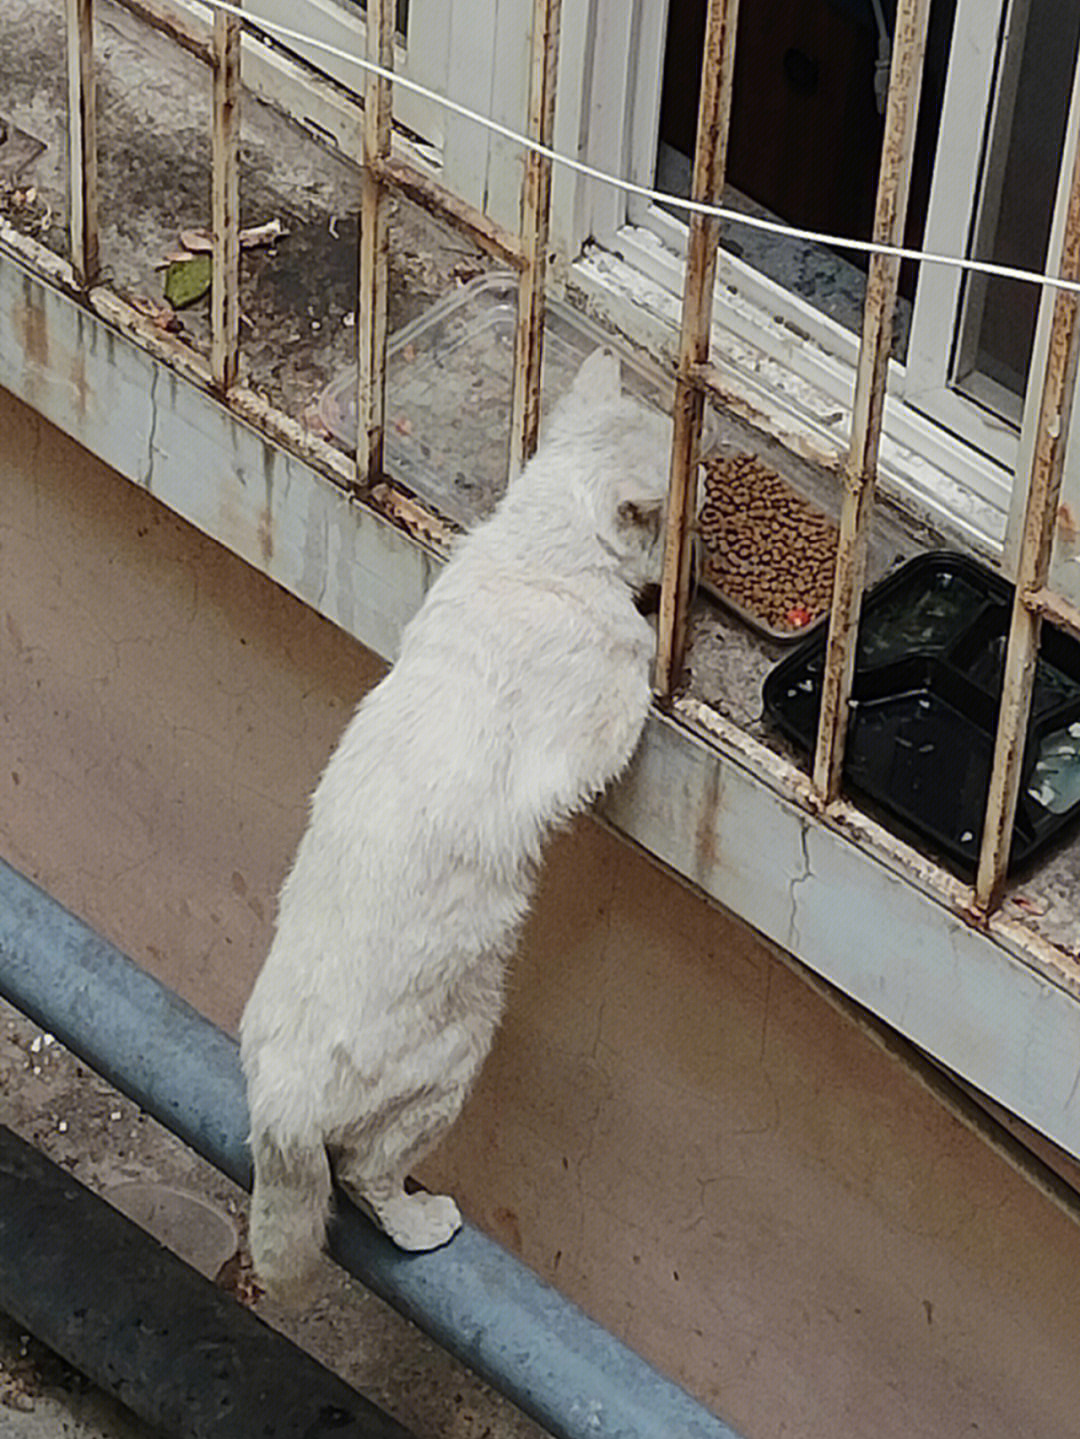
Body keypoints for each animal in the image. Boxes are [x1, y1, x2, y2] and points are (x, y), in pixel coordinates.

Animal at [240, 351, 673, 1306]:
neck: (534, 547)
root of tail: (279, 1101)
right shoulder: (601, 723)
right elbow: (634, 679)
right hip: (455, 1051)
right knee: (364, 1173)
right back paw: (425, 1222)